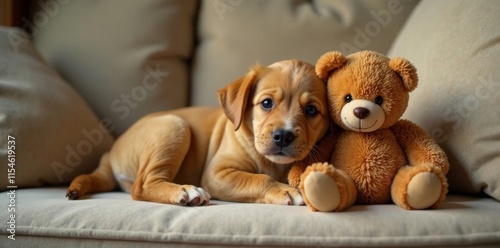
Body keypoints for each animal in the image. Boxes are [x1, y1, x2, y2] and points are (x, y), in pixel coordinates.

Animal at [66, 59, 332, 205]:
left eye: (311, 110)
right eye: (266, 103)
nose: (283, 136)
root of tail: (111, 154)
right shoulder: (216, 173)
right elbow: (259, 178)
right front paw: (284, 190)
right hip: (174, 126)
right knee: (142, 185)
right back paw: (185, 190)